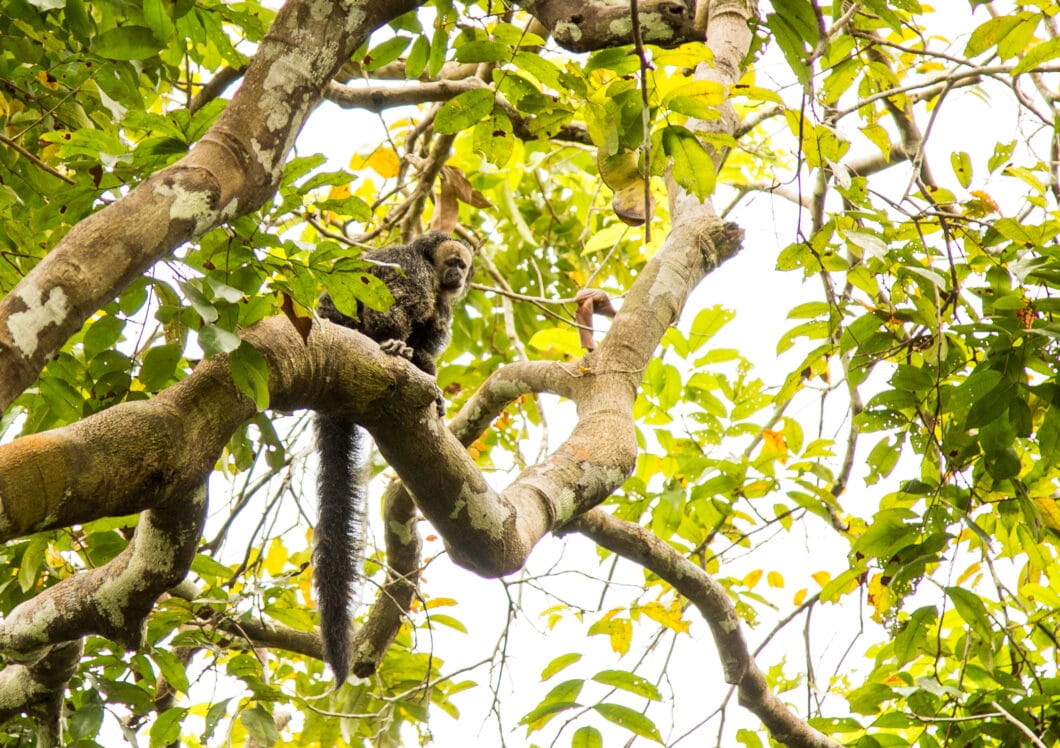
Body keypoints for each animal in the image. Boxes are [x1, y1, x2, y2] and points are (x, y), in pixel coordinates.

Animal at [311, 228, 474, 682]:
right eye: (453, 262)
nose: (458, 275)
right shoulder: (413, 272)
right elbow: (390, 298)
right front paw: (396, 343)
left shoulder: (442, 305)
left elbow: (429, 341)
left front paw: (428, 375)